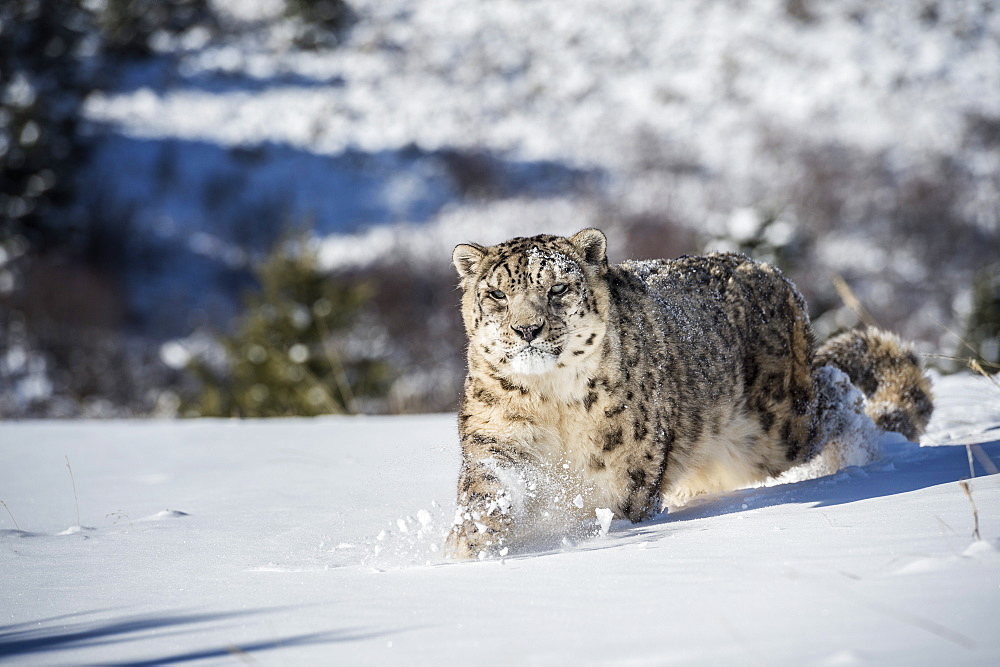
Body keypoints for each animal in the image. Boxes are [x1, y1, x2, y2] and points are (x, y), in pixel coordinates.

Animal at [446, 228, 928, 560]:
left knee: (838, 394)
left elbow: (612, 511)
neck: (551, 401)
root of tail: (771, 272)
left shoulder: (625, 471)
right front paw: (468, 546)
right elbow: (487, 493)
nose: (526, 329)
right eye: (496, 294)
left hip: (778, 431)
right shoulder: (498, 438)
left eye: (558, 288)